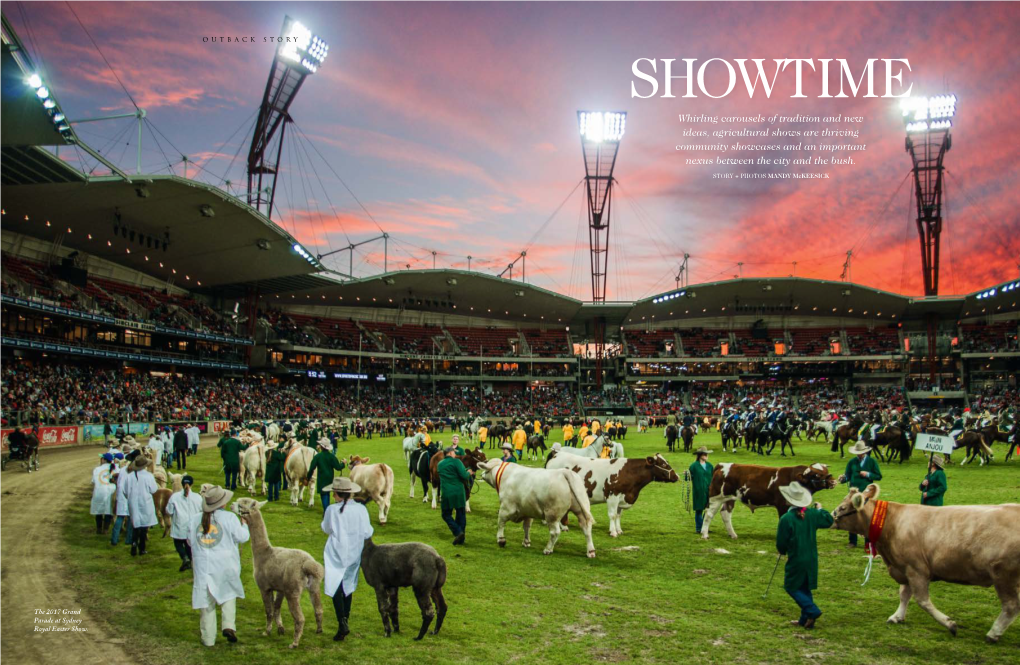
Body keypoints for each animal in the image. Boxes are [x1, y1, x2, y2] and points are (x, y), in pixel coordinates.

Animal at [546, 448, 681, 538]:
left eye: (667, 462)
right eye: (663, 464)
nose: (676, 476)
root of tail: (556, 453)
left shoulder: (622, 498)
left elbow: (618, 515)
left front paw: (619, 530)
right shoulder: (612, 496)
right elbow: (612, 515)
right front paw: (613, 532)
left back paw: (563, 526)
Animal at [701, 463, 836, 538]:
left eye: (826, 471)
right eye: (817, 475)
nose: (833, 481)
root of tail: (722, 465)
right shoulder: (782, 505)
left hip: (729, 499)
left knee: (725, 514)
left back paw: (733, 535)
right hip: (716, 498)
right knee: (709, 514)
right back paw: (704, 534)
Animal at [828, 483, 1020, 644]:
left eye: (843, 507)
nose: (830, 518)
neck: (892, 524)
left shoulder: (916, 569)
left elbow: (922, 600)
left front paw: (950, 624)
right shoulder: (903, 568)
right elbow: (904, 595)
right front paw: (897, 616)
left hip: (1004, 575)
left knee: (1011, 606)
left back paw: (993, 633)